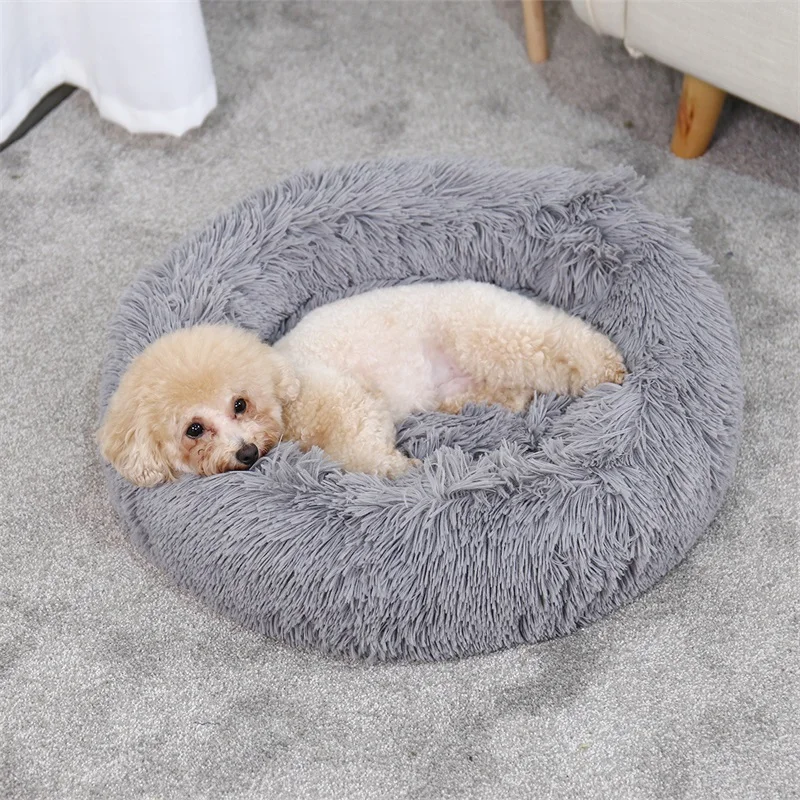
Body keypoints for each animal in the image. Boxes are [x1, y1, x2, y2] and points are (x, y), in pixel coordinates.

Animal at [98, 281, 626, 486]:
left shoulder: (346, 401)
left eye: (240, 403)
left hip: (488, 333)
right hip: (474, 378)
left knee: (559, 341)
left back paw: (608, 367)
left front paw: (402, 473)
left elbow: (365, 445)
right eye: (194, 429)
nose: (246, 453)